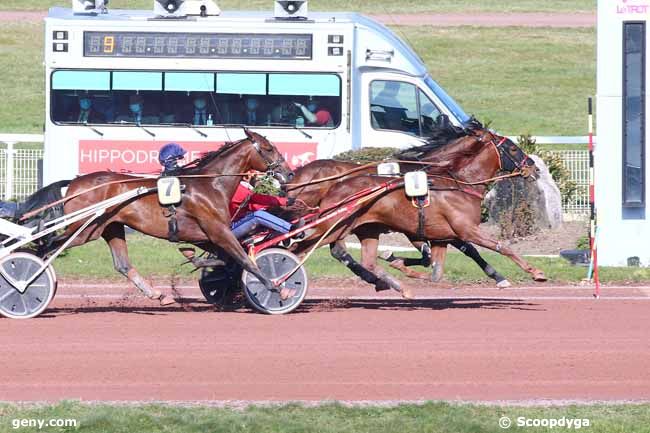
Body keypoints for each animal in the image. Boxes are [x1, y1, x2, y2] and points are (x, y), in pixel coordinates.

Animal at [53, 130, 294, 302]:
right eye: (269, 148)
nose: (290, 173)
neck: (211, 184)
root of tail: (74, 182)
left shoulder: (205, 235)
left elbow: (223, 258)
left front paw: (195, 259)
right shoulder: (218, 231)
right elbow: (246, 260)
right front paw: (277, 287)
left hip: (110, 228)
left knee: (122, 265)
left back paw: (158, 295)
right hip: (84, 230)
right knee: (50, 246)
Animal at [290, 125, 540, 296]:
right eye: (512, 148)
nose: (534, 167)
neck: (455, 181)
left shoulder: (437, 233)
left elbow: (435, 265)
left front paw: (396, 261)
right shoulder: (461, 229)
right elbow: (492, 248)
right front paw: (526, 274)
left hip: (358, 228)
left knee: (345, 254)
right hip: (334, 225)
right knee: (307, 249)